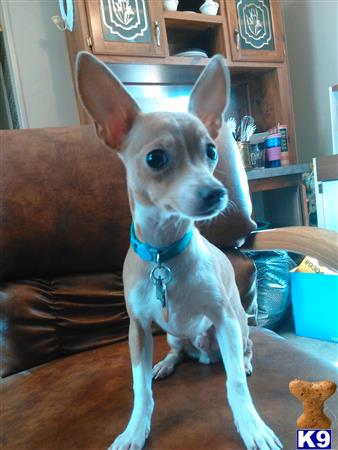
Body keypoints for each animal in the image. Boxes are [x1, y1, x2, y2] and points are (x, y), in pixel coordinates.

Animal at [76, 51, 282, 450]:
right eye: (155, 158)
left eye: (211, 151)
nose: (217, 192)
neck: (164, 253)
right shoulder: (139, 330)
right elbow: (140, 391)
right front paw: (134, 429)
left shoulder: (225, 320)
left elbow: (235, 385)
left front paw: (252, 426)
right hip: (172, 334)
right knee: (177, 351)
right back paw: (165, 364)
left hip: (238, 325)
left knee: (243, 352)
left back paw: (245, 362)